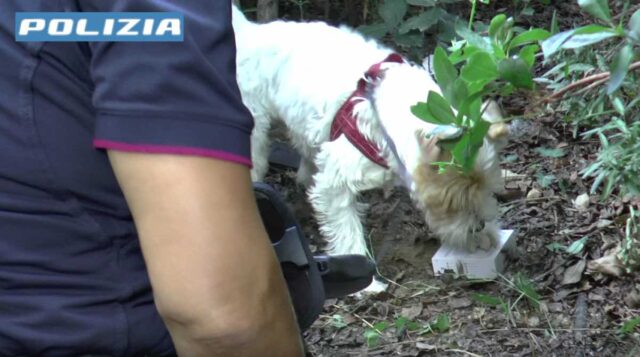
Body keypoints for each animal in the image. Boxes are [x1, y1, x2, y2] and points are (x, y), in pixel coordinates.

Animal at [232, 6, 508, 264]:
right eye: (451, 205)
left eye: (490, 191)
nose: (478, 226)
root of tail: (250, 31)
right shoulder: (336, 183)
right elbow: (347, 234)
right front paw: (368, 279)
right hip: (254, 129)